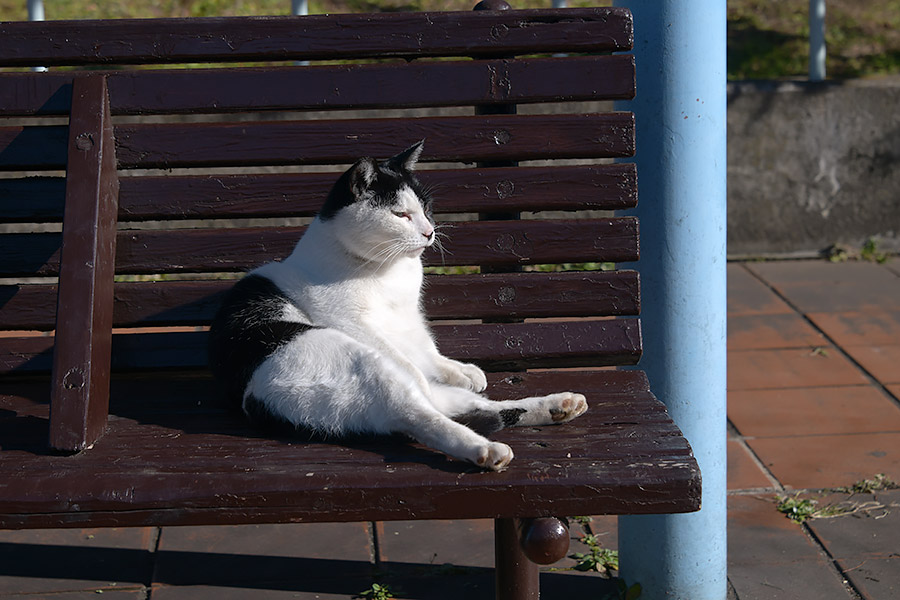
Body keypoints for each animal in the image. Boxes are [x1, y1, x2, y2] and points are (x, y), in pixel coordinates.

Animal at [211, 141, 592, 468]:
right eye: (400, 214)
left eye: (426, 210)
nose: (429, 232)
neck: (390, 271)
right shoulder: (350, 321)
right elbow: (410, 363)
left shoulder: (410, 319)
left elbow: (427, 350)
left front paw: (458, 369)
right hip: (360, 362)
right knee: (424, 415)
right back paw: (485, 451)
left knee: (471, 407)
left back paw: (558, 405)